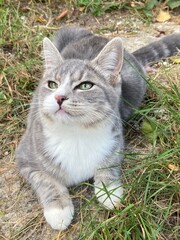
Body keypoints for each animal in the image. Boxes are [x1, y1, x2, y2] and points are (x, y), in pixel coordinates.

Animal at [15, 26, 180, 231]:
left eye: (85, 85)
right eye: (52, 84)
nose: (59, 97)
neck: (75, 134)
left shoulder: (115, 137)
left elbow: (109, 162)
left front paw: (108, 190)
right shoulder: (25, 155)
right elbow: (45, 179)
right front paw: (58, 209)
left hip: (134, 83)